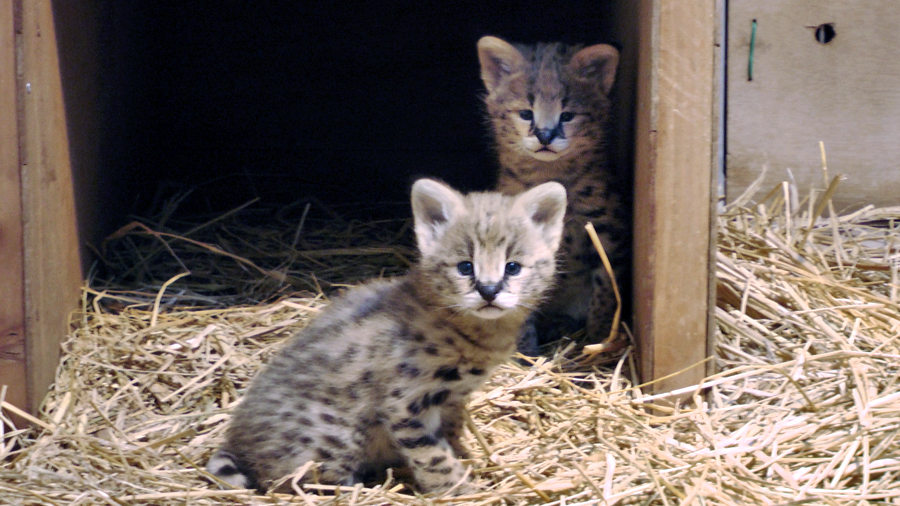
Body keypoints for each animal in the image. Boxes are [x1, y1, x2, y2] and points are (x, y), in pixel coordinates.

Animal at [207, 177, 568, 494]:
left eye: (513, 267)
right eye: (465, 267)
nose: (489, 291)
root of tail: (239, 443)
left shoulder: (452, 400)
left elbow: (451, 435)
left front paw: (465, 460)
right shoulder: (405, 404)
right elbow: (434, 458)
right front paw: (458, 490)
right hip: (334, 438)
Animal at [474, 35, 628, 354]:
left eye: (567, 115)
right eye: (525, 113)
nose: (545, 136)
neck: (551, 177)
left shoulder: (609, 234)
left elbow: (607, 291)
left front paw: (600, 338)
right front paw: (525, 352)